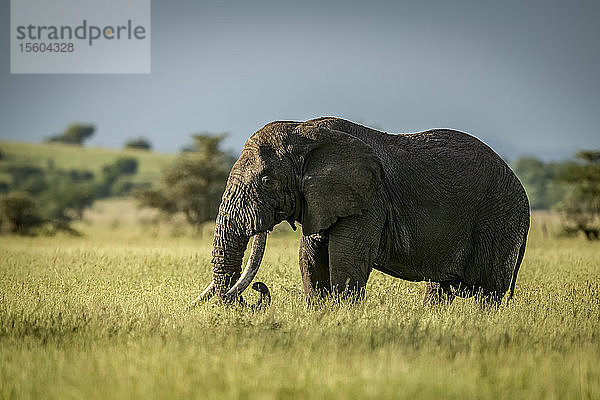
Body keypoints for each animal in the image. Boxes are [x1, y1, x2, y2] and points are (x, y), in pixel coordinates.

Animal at [192, 117, 528, 308]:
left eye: (267, 181)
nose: (258, 290)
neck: (304, 130)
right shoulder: (323, 198)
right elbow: (310, 258)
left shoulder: (368, 199)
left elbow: (346, 260)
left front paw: (342, 314)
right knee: (441, 287)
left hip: (500, 219)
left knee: (488, 291)